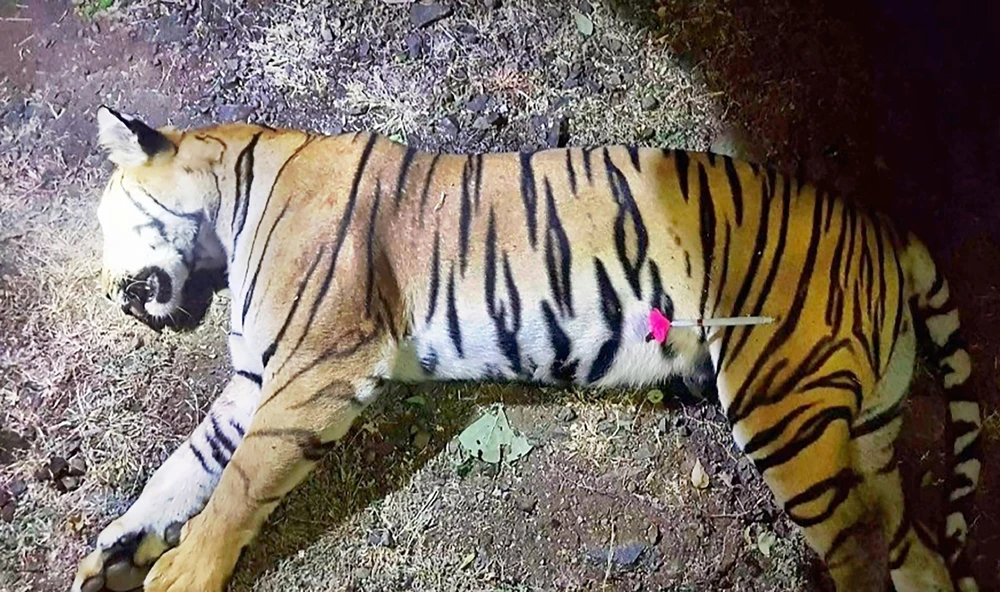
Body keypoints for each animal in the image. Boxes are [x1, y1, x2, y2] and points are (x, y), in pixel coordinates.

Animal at [72, 105, 981, 592]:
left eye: (110, 220)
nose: (116, 296)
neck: (229, 207)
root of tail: (882, 227)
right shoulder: (255, 379)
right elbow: (183, 471)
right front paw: (111, 555)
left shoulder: (314, 370)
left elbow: (236, 486)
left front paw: (181, 571)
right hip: (866, 425)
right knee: (911, 545)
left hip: (782, 402)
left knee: (860, 546)